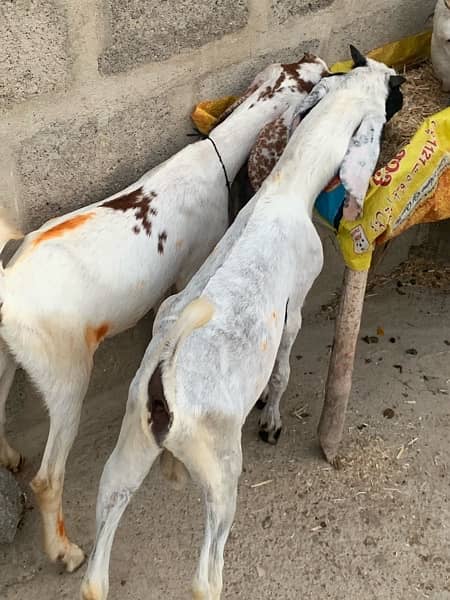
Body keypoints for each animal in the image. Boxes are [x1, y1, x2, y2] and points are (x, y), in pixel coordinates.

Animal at [0, 55, 326, 572]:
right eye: (313, 78)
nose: (318, 58)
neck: (212, 158)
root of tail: (9, 290)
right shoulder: (192, 268)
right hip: (64, 371)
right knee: (49, 476)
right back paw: (65, 552)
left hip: (9, 356)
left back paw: (11, 457)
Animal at [81, 48, 408, 600]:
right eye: (389, 98)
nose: (402, 88)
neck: (285, 188)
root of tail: (164, 384)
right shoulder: (296, 304)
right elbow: (283, 368)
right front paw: (271, 420)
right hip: (220, 470)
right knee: (205, 575)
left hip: (126, 452)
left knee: (97, 567)